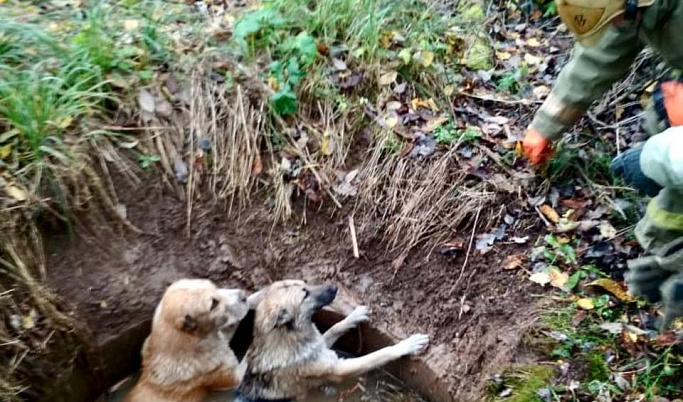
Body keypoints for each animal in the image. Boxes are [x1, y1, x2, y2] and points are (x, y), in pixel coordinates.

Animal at [238, 282, 430, 400]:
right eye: (305, 295)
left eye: (306, 284)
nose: (334, 286)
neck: (288, 338)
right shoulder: (339, 369)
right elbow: (378, 354)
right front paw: (406, 345)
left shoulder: (323, 346)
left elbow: (335, 327)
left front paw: (354, 315)